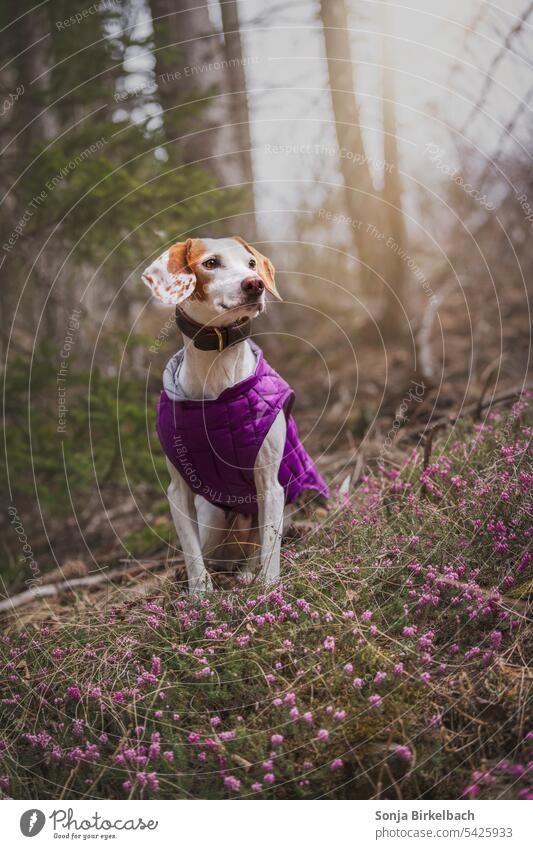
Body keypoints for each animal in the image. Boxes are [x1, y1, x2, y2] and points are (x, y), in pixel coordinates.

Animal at [141, 235, 326, 592]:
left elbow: (270, 546)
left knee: (258, 545)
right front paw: (199, 595)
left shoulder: (270, 485)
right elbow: (191, 552)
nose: (255, 284)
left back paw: (247, 573)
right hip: (213, 520)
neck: (217, 370)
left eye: (251, 263)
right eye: (211, 263)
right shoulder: (177, 492)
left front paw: (268, 589)